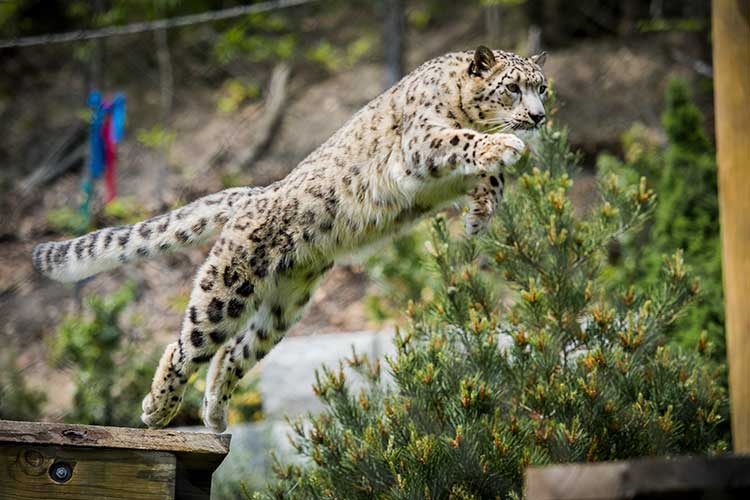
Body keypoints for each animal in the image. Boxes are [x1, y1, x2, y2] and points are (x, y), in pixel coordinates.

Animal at [32, 46, 548, 433]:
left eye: (542, 87)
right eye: (513, 87)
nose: (539, 117)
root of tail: (258, 193)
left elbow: (491, 175)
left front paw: (480, 215)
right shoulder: (421, 143)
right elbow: (465, 142)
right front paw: (504, 150)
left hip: (283, 308)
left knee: (232, 354)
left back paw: (214, 414)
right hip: (226, 290)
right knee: (186, 344)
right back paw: (158, 410)